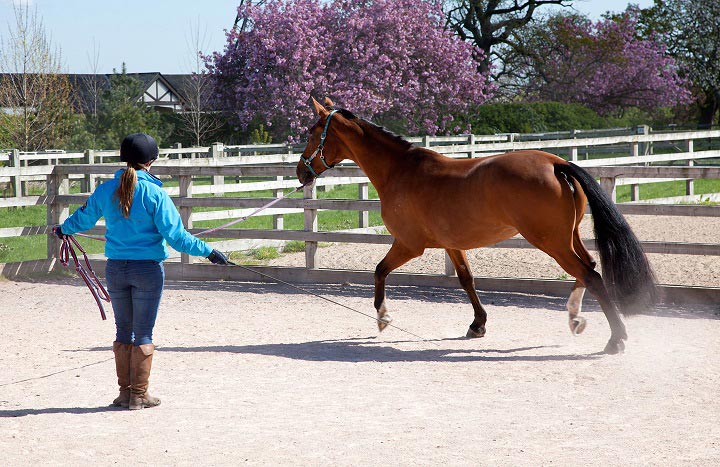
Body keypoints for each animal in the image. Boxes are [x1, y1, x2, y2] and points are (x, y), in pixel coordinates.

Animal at [296, 98, 656, 354]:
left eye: (313, 132)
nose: (300, 172)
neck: (400, 171)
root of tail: (556, 163)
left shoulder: (409, 245)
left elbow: (380, 271)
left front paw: (383, 318)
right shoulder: (452, 244)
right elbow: (466, 280)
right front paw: (477, 325)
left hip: (552, 242)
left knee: (591, 276)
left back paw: (615, 340)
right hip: (569, 238)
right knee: (589, 268)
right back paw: (577, 320)